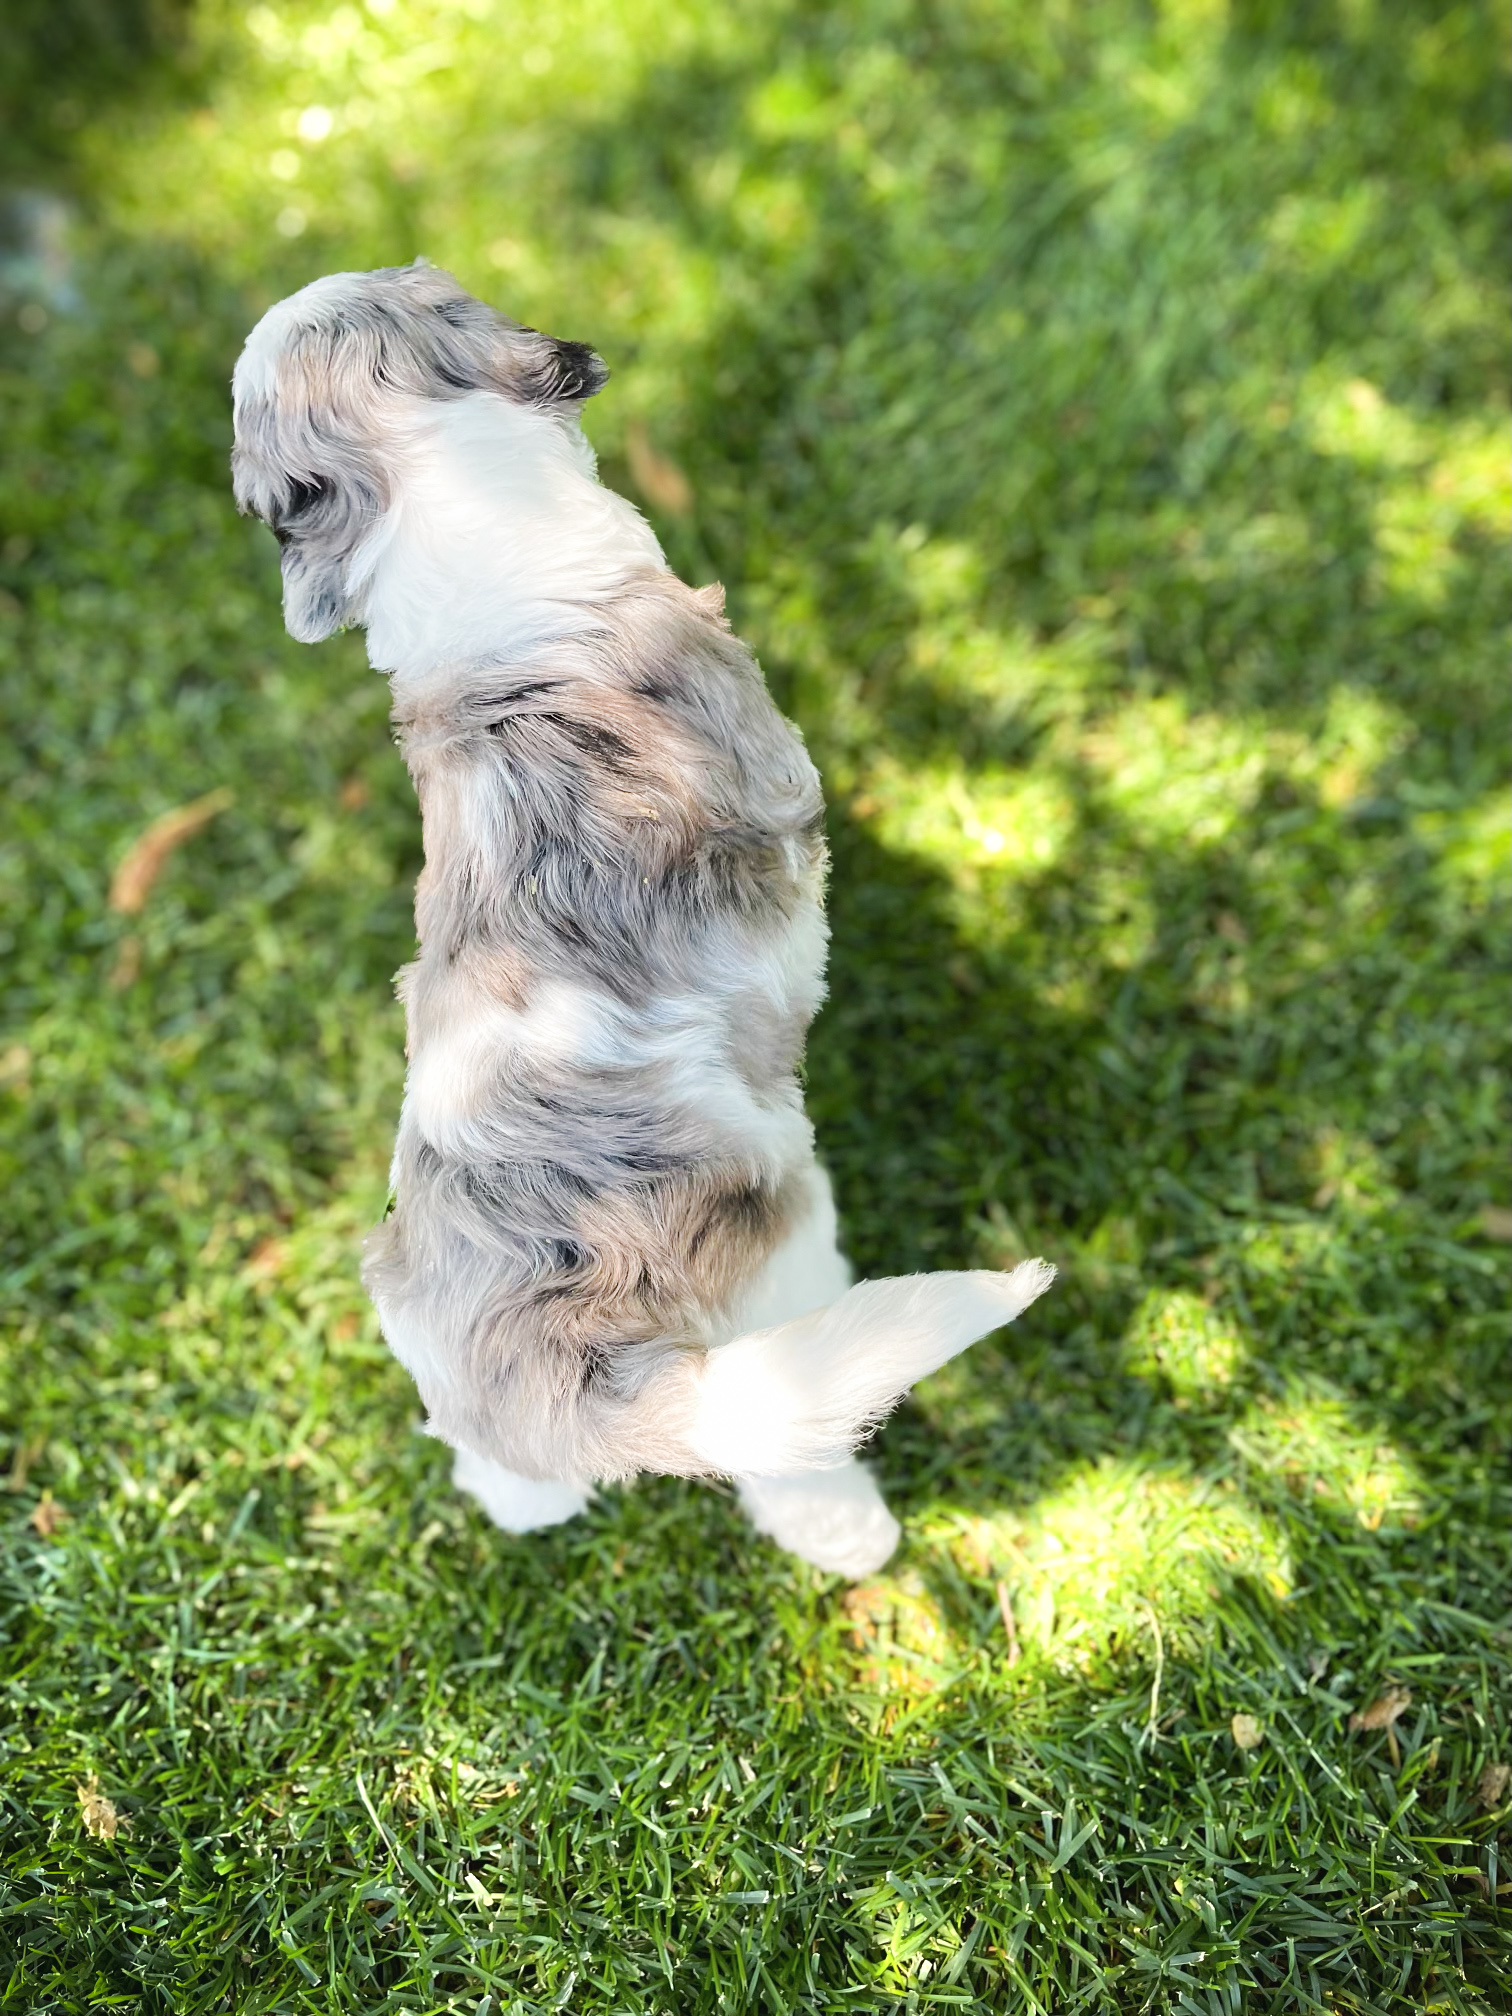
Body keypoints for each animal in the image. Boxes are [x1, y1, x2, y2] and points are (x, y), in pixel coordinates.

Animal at [230, 264, 1056, 1572]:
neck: (445, 499)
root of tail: (563, 1366)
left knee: (507, 1474)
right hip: (783, 1262)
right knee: (786, 1441)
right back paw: (854, 1535)